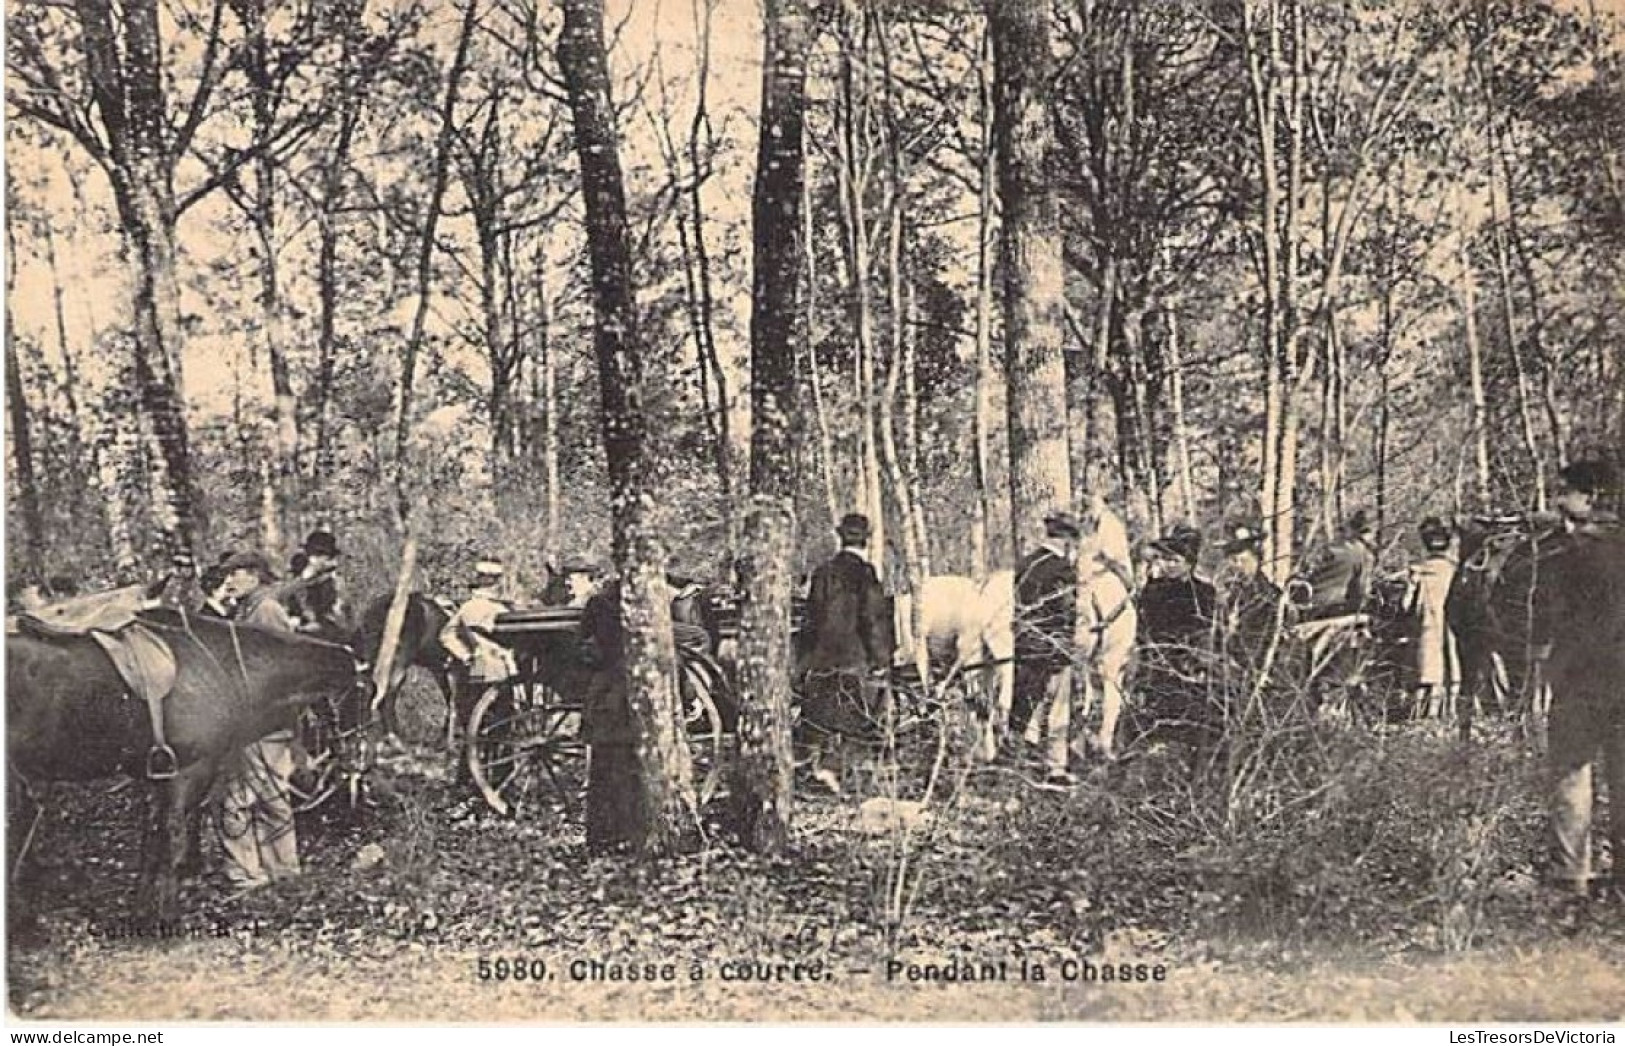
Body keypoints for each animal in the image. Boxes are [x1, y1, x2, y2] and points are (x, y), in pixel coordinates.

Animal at [7, 604, 368, 922]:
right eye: (363, 694)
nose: (359, 759)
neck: (224, 666)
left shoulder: (155, 778)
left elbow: (151, 845)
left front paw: (140, 915)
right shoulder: (190, 773)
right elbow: (174, 843)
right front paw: (167, 920)